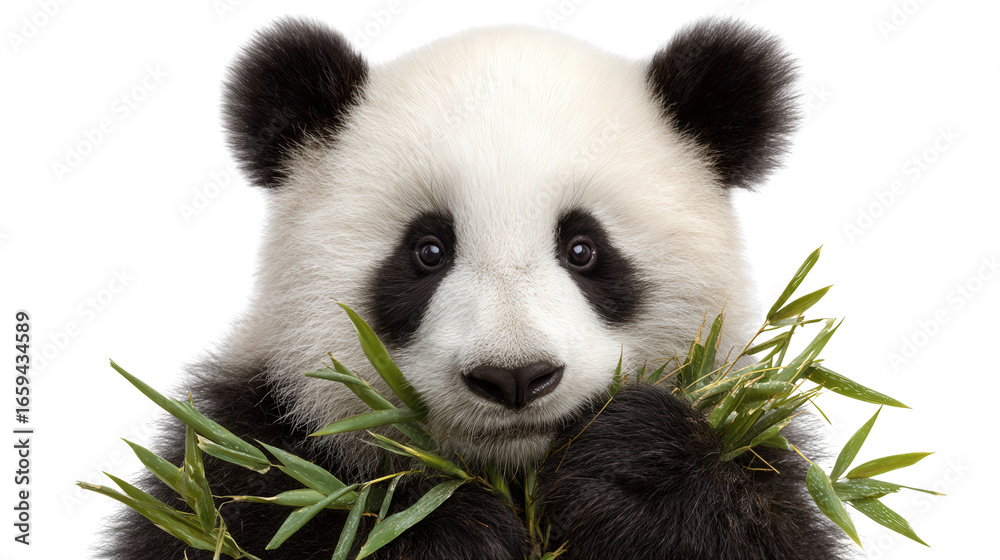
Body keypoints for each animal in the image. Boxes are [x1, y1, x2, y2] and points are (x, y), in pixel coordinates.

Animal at [104, 16, 845, 560]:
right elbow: (286, 511)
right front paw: (441, 529)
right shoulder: (246, 449)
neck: (510, 473)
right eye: (428, 251)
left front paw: (639, 471)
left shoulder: (758, 443)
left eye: (583, 250)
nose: (514, 377)